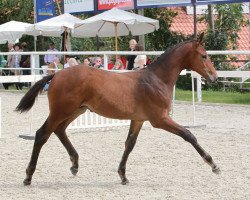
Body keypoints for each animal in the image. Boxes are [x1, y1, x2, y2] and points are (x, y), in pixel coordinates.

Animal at [16, 32, 221, 186]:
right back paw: (28, 175)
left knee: (59, 130)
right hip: (61, 111)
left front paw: (123, 175)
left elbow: (129, 144)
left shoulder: (138, 119)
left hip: (76, 110)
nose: (214, 77)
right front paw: (213, 164)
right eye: (204, 55)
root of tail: (56, 75)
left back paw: (75, 164)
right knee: (42, 134)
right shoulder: (159, 119)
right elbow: (188, 135)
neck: (157, 79)